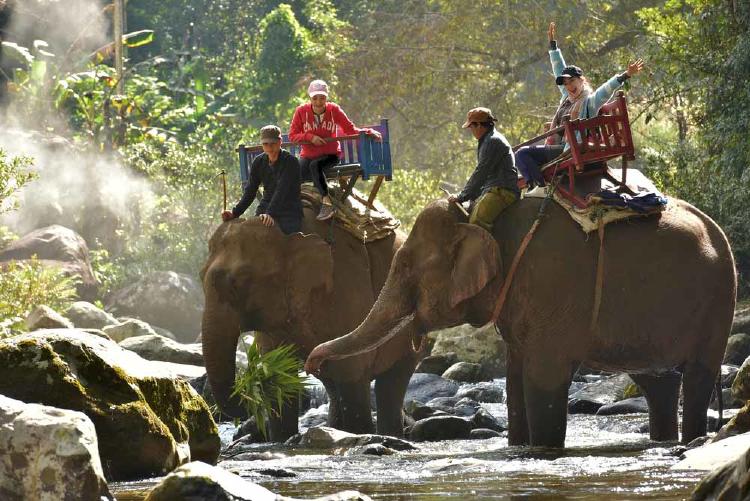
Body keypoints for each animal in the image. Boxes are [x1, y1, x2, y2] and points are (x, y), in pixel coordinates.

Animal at [200, 206, 421, 441]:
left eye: (238, 283)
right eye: (200, 277)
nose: (247, 388)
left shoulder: (347, 287)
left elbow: (353, 370)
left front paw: (360, 432)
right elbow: (281, 373)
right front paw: (282, 438)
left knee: (392, 381)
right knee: (332, 382)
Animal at [305, 196, 736, 447]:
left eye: (408, 266)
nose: (311, 361)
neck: (481, 218)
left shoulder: (554, 284)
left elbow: (544, 376)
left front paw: (543, 451)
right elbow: (515, 376)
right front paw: (518, 449)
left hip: (718, 302)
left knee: (697, 376)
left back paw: (693, 441)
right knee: (659, 382)